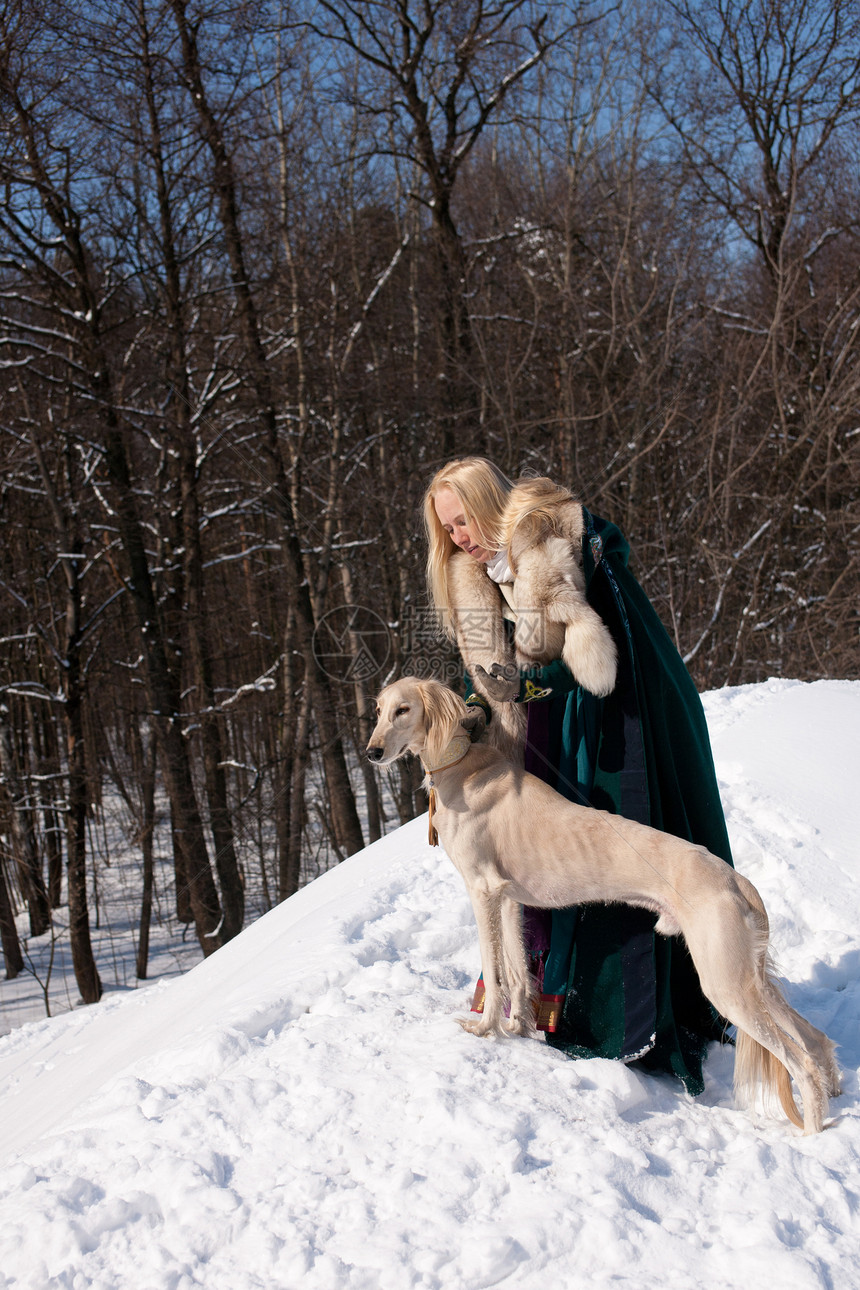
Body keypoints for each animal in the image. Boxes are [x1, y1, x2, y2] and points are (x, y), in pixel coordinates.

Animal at [366, 675, 840, 1130]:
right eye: (379, 710)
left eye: (403, 710)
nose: (372, 753)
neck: (462, 767)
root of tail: (737, 881)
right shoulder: (509, 898)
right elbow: (518, 972)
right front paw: (517, 1028)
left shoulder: (482, 890)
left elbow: (495, 970)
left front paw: (485, 1029)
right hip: (748, 976)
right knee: (815, 1039)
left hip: (726, 984)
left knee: (801, 1062)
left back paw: (812, 1130)